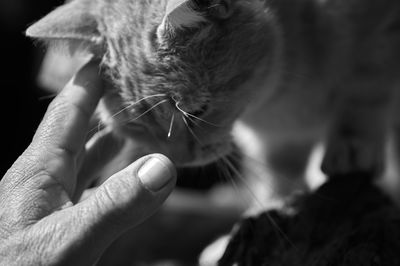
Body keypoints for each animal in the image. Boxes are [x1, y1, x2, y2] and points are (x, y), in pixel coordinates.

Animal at [26, 0, 400, 206]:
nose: (180, 161)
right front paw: (276, 202)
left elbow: (365, 89)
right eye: (137, 127)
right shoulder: (277, 138)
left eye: (197, 113)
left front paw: (353, 143)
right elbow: (280, 164)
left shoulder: (378, 32)